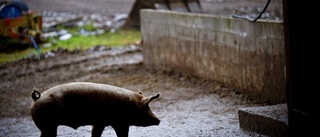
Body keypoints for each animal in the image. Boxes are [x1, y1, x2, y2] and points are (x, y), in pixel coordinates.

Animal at [30, 82, 160, 137]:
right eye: (147, 107)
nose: (159, 120)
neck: (132, 105)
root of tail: (37, 98)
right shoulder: (119, 123)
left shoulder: (101, 122)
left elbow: (96, 133)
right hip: (48, 126)